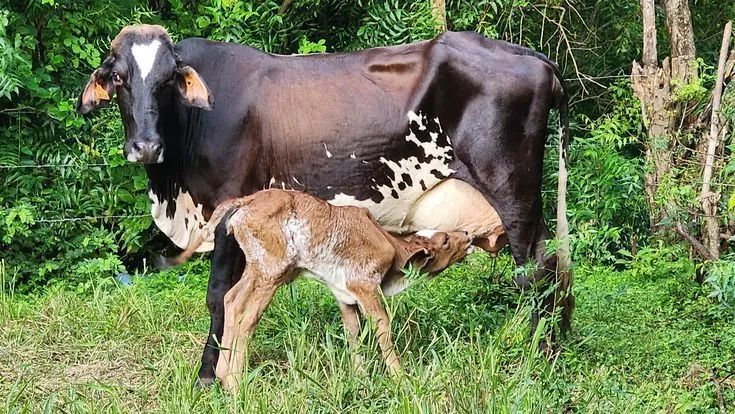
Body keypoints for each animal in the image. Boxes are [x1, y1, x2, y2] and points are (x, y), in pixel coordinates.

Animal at [77, 24, 573, 386]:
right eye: (118, 78)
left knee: (535, 273)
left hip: (513, 194)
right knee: (555, 269)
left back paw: (540, 363)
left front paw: (206, 379)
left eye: (167, 82)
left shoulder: (225, 211)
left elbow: (217, 295)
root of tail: (532, 56)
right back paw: (558, 350)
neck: (174, 187)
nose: (145, 146)